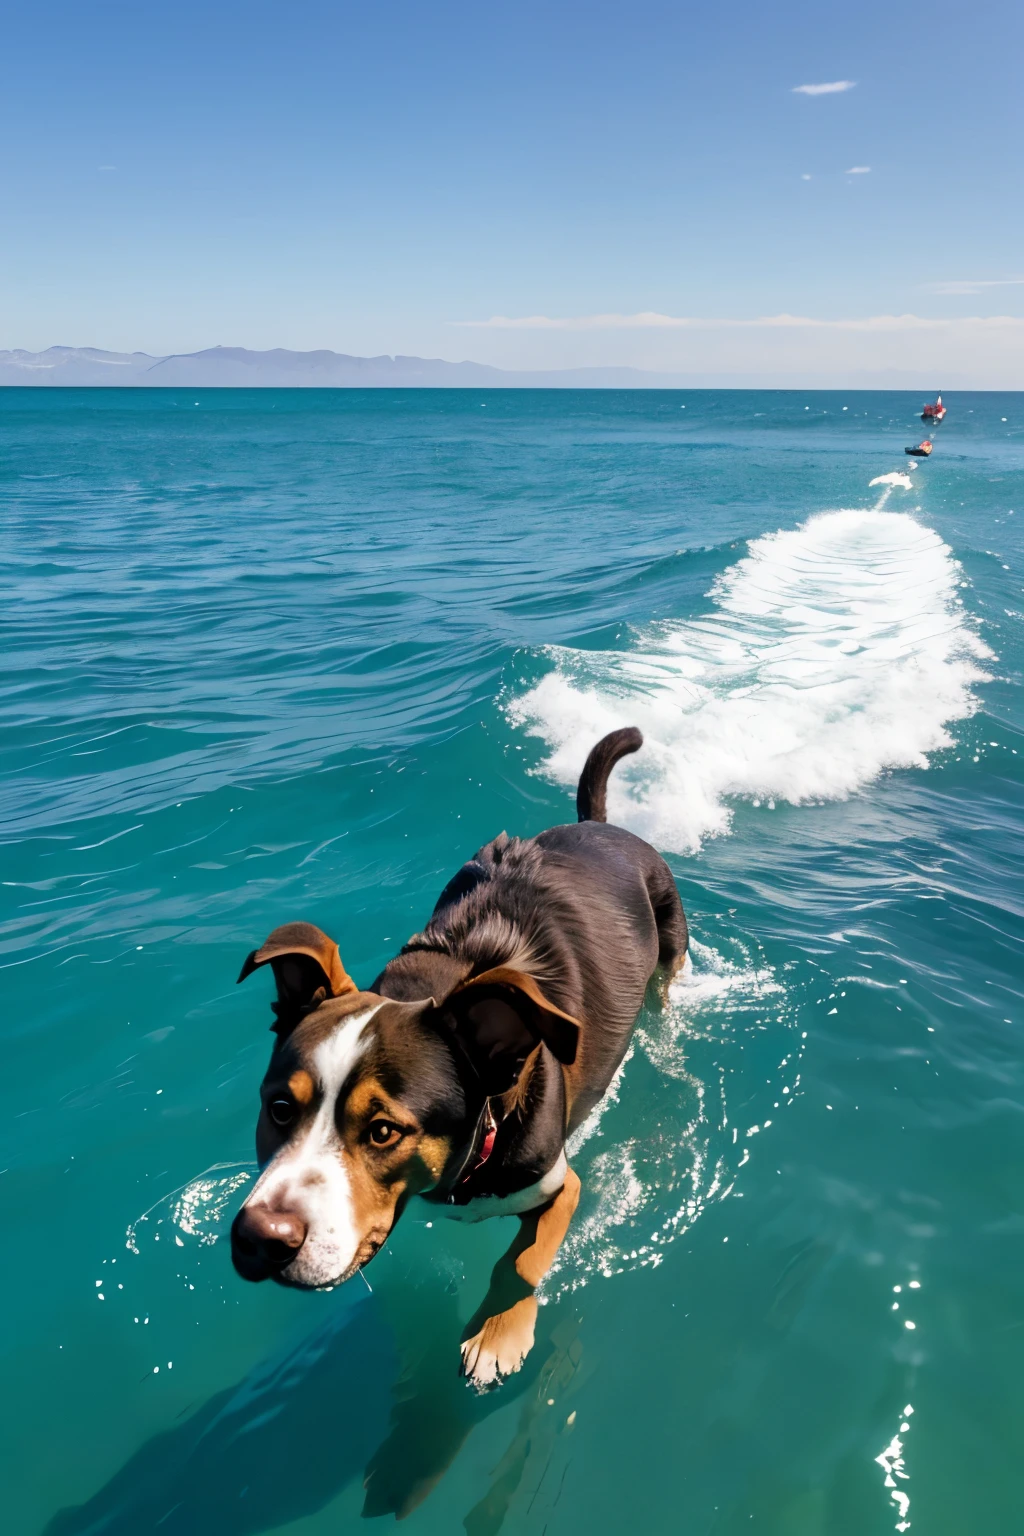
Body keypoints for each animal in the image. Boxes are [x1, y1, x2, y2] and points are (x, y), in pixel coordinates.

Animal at [231, 724, 687, 1388]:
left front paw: (499, 1333)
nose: (260, 1238)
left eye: (383, 1131)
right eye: (280, 1109)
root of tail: (601, 826)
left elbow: (521, 1261)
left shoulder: (559, 1185)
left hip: (670, 939)